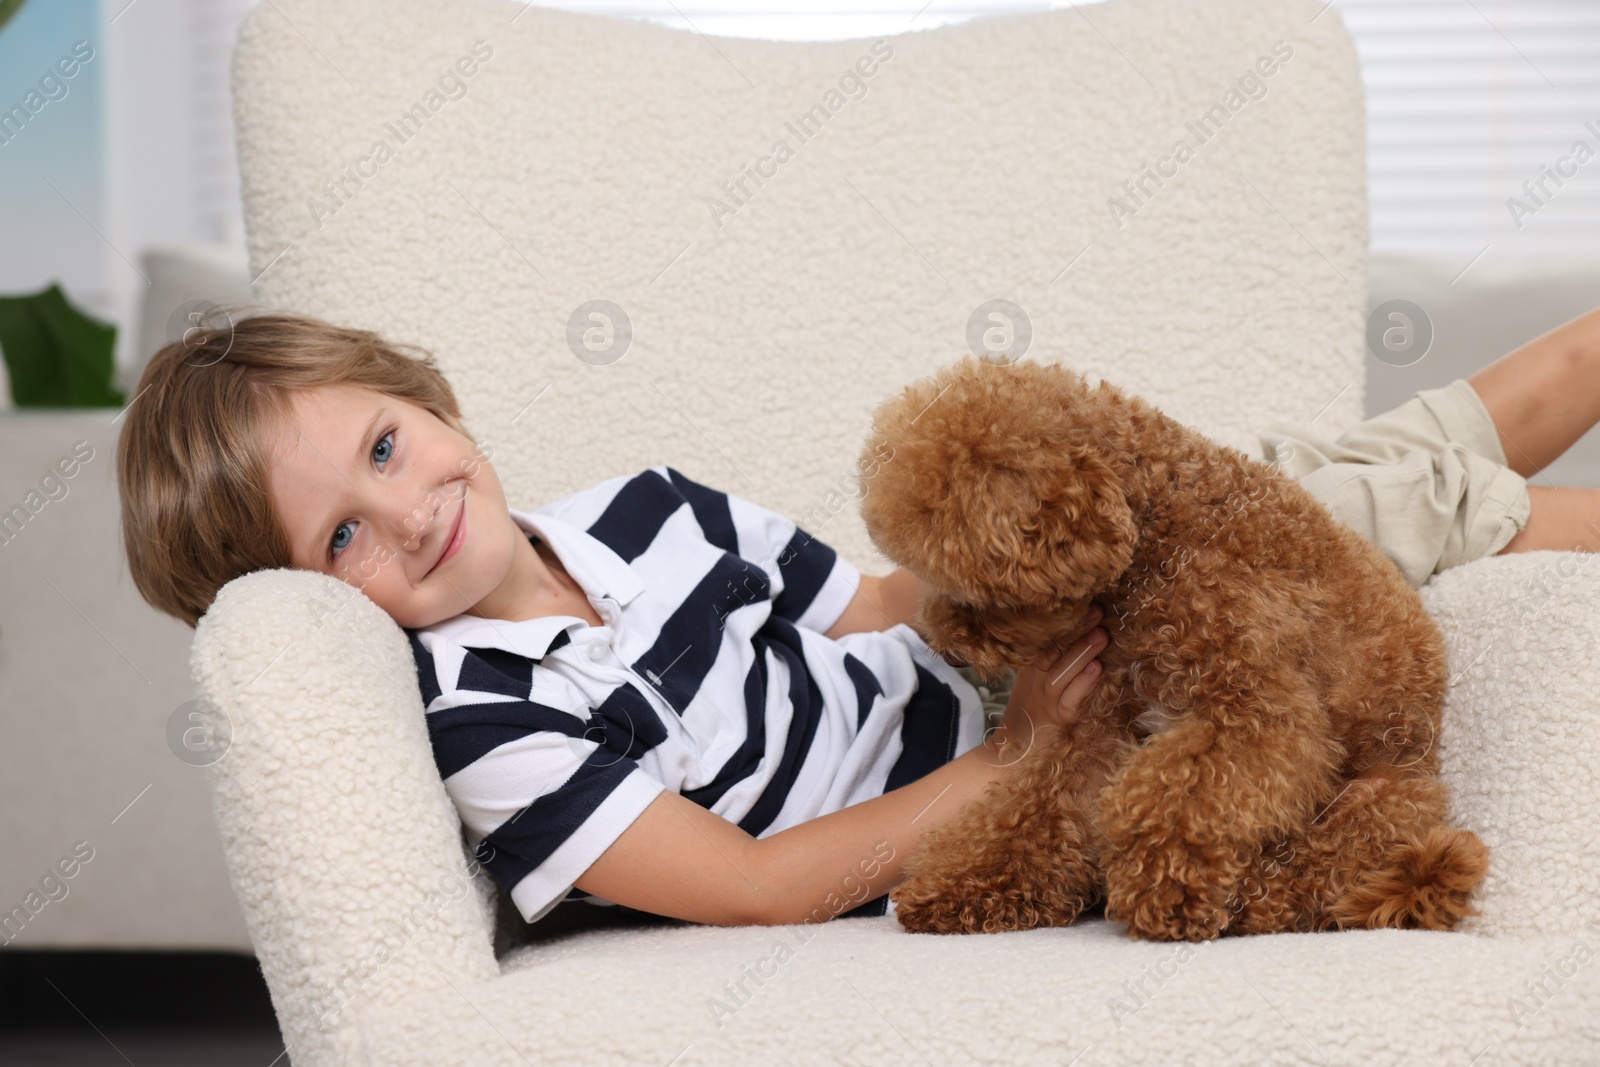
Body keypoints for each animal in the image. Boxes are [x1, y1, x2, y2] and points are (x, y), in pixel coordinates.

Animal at [864, 358, 1484, 940]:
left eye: (978, 594)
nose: (949, 653)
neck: (1161, 531)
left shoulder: (1253, 712)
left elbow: (1183, 798)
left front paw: (1164, 891)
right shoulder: (1104, 718)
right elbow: (1042, 803)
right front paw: (965, 887)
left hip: (1380, 804)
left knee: (1316, 872)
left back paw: (1254, 898)